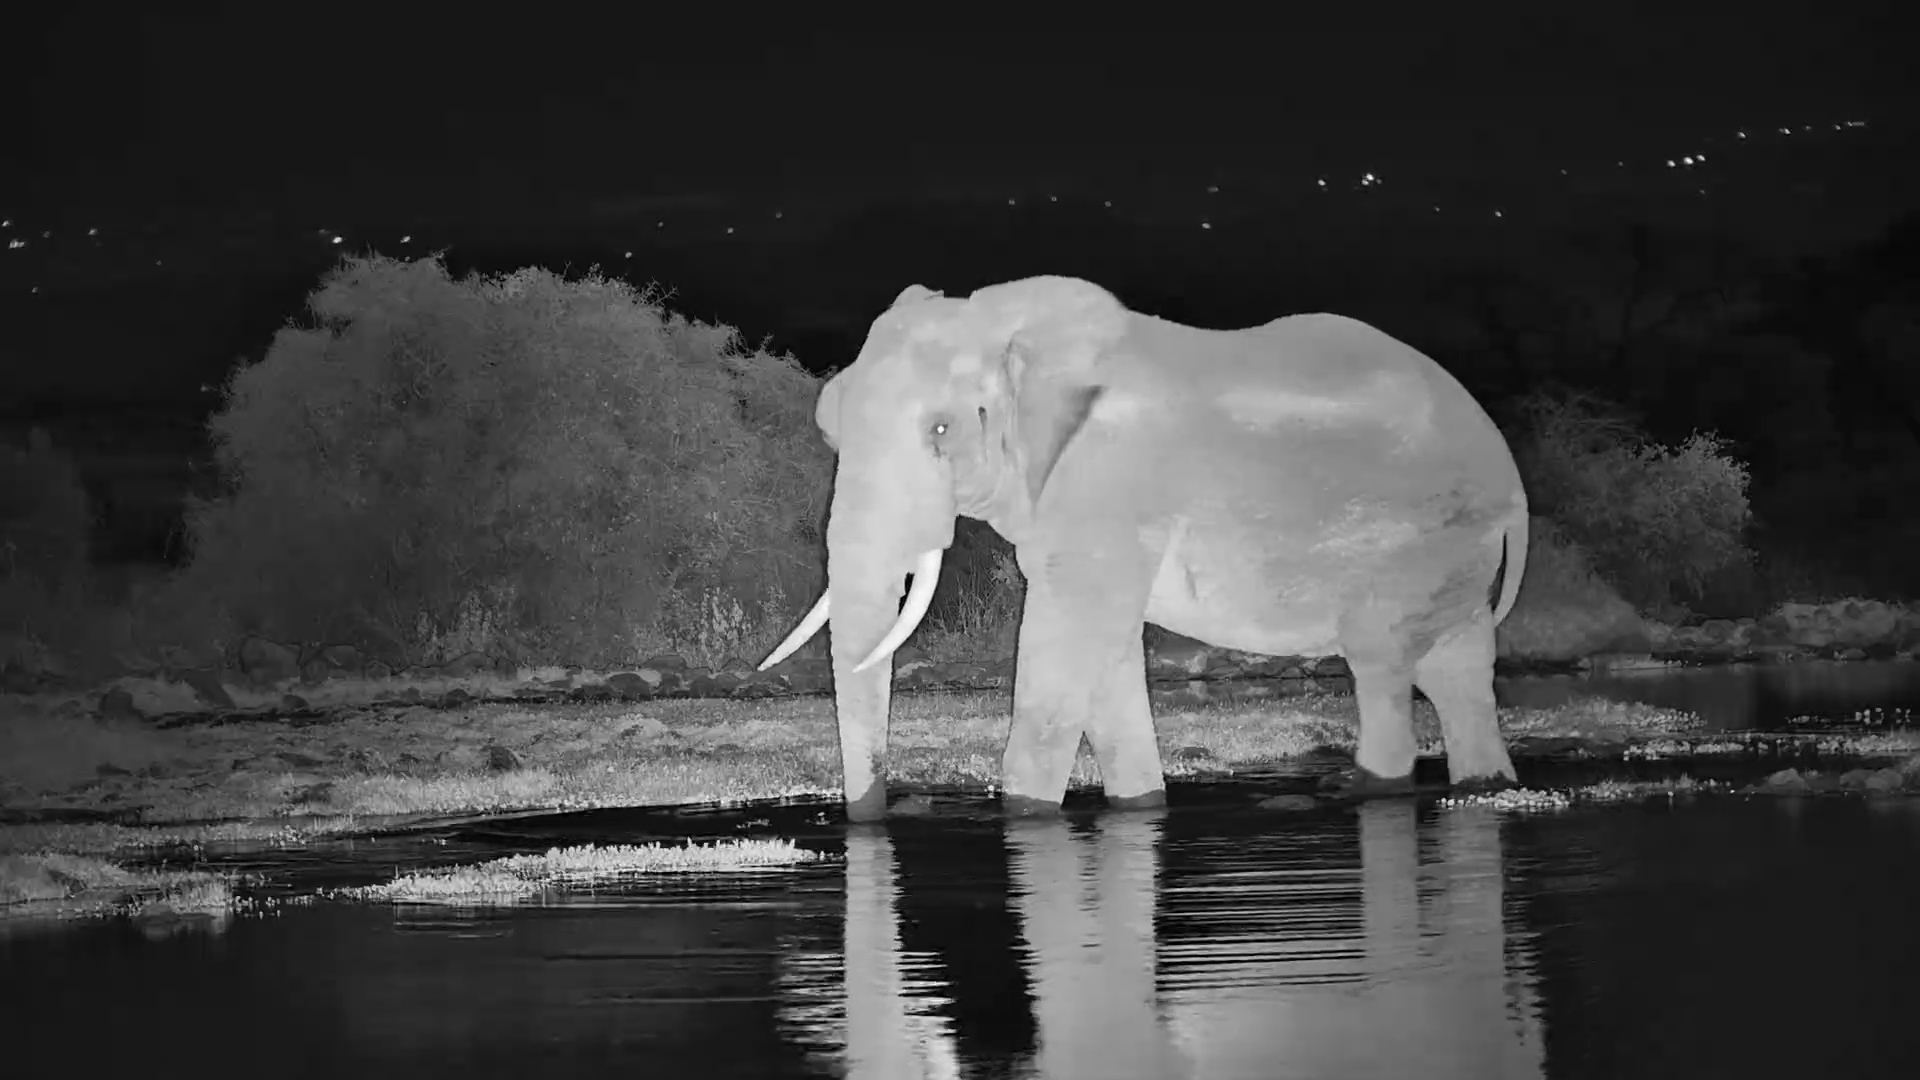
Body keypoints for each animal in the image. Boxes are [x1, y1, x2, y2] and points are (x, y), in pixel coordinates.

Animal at [761, 275, 1528, 822]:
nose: (873, 817)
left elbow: (1062, 660)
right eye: (828, 424)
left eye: (943, 431)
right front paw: (1139, 807)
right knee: (1459, 673)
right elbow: (1104, 663)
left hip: (1416, 543)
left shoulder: (1107, 485)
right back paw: (1488, 784)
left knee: (1383, 670)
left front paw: (1026, 816)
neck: (1005, 323)